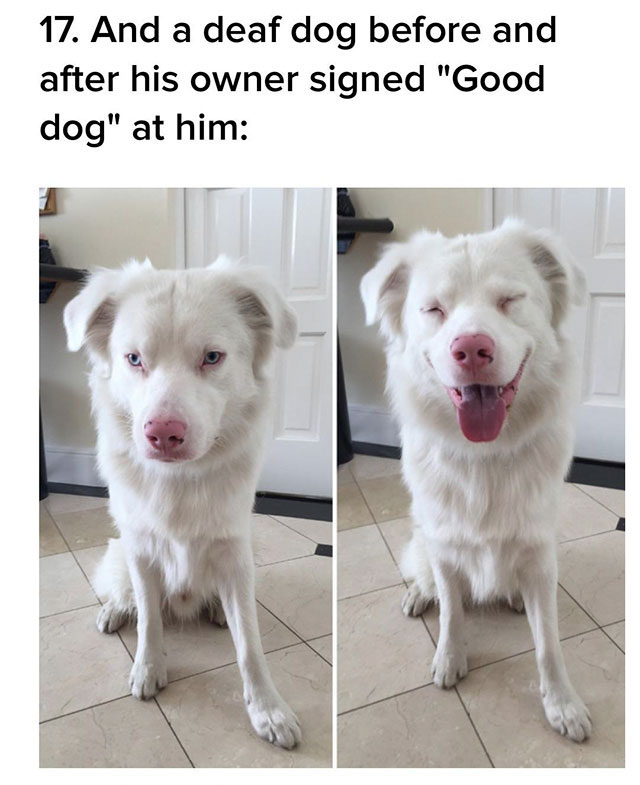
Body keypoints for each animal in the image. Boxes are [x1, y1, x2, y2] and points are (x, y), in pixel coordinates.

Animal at [64, 256, 302, 748]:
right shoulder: (140, 549)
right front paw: (148, 669)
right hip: (118, 553)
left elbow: (250, 646)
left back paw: (214, 611)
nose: (162, 435)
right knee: (127, 597)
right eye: (134, 359)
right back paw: (114, 611)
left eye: (212, 357)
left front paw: (267, 709)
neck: (180, 480)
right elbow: (149, 621)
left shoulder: (235, 553)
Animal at [362, 219, 592, 740]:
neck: (484, 455)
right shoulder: (446, 546)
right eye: (434, 310)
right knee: (426, 579)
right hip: (422, 542)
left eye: (509, 300)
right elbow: (452, 612)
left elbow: (548, 644)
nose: (470, 349)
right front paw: (450, 659)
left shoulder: (540, 555)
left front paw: (562, 704)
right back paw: (417, 595)